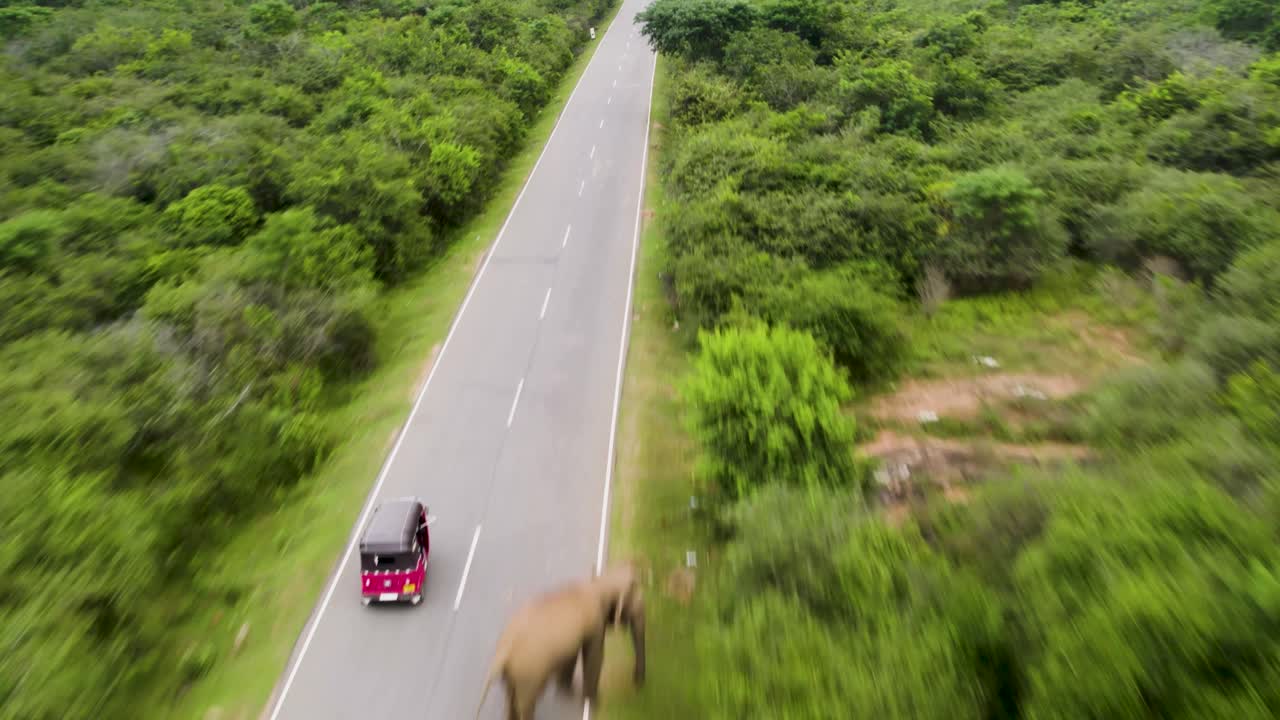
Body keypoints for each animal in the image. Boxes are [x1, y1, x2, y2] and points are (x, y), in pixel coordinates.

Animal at [474, 561, 647, 720]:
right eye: (634, 601)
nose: (637, 684)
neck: (599, 583)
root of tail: (503, 653)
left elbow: (571, 655)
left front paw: (568, 692)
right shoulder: (595, 621)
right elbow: (595, 657)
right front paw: (596, 701)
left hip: (513, 674)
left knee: (511, 698)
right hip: (529, 673)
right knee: (526, 701)